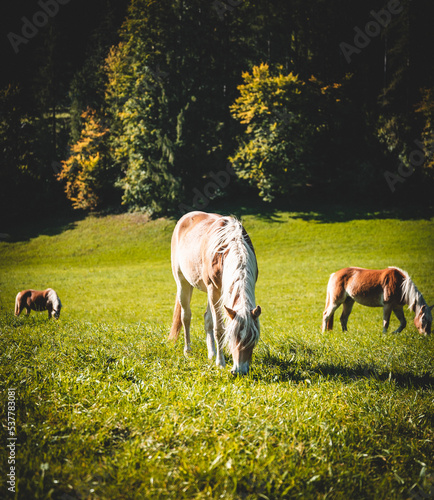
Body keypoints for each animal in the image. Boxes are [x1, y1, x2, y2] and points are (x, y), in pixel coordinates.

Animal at [169, 210, 262, 376]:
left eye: (253, 340)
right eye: (233, 337)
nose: (240, 371)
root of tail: (185, 217)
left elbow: (211, 322)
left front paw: (216, 357)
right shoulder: (213, 289)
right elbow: (219, 328)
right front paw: (221, 363)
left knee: (207, 318)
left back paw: (211, 353)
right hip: (183, 283)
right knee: (186, 316)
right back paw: (188, 351)